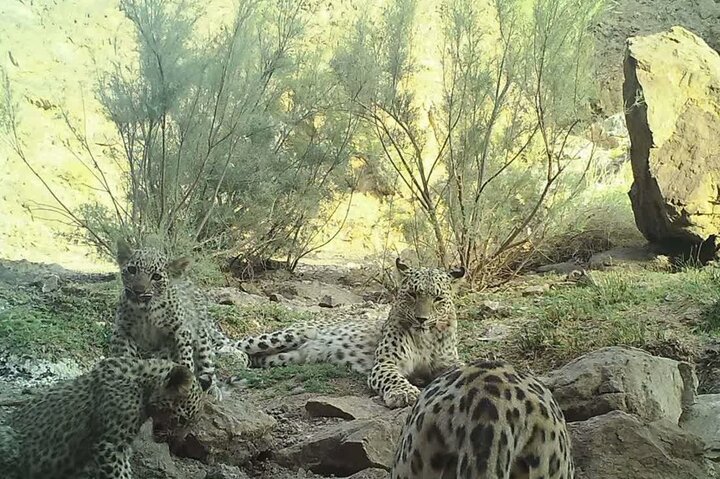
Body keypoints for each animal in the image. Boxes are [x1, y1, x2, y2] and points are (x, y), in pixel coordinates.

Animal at [110, 240, 250, 402]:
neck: (147, 311)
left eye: (156, 277)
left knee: (207, 363)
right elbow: (124, 355)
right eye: (132, 270)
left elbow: (186, 359)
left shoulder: (181, 331)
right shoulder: (123, 330)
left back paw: (213, 390)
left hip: (202, 337)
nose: (138, 290)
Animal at [233, 258, 464, 408]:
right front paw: (404, 393)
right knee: (239, 343)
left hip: (286, 357)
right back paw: (233, 357)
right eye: (412, 294)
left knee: (260, 358)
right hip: (286, 335)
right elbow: (393, 377)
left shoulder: (449, 362)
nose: (421, 319)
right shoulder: (386, 363)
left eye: (438, 299)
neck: (425, 338)